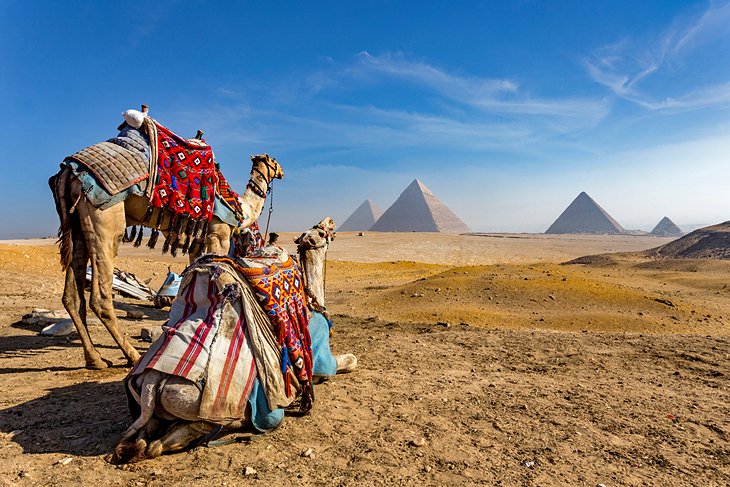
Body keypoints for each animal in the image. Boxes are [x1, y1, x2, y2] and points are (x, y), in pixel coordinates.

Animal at [49, 115, 282, 370]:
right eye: (274, 161)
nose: (282, 171)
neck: (240, 206)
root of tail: (68, 173)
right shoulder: (218, 235)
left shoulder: (198, 243)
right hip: (104, 217)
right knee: (100, 296)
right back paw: (132, 355)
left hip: (77, 225)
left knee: (72, 295)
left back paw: (95, 359)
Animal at [109, 218, 356, 466]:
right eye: (321, 232)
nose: (329, 222)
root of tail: (152, 381)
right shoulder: (321, 359)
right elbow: (349, 361)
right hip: (205, 408)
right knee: (168, 440)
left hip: (148, 405)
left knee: (145, 435)